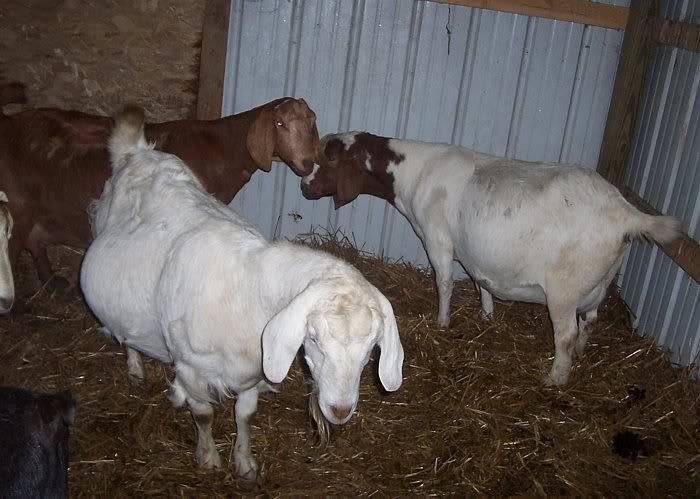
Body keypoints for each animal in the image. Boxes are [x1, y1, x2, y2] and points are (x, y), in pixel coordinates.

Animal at [0, 90, 320, 290]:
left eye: (310, 123)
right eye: (279, 123)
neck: (220, 147)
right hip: (17, 209)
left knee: (36, 247)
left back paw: (53, 283)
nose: (306, 163)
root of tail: (9, 123)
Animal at [80, 109, 404, 480]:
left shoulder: (253, 373)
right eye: (314, 339)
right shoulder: (190, 366)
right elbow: (203, 414)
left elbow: (245, 415)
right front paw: (208, 458)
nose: (339, 410)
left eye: (372, 348)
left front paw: (245, 465)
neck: (247, 289)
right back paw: (134, 368)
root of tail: (137, 151)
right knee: (127, 335)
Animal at [301, 132, 681, 386]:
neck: (415, 173)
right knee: (590, 321)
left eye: (329, 158)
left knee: (566, 334)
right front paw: (486, 315)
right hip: (599, 281)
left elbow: (444, 283)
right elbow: (480, 280)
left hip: (564, 288)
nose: (304, 187)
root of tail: (624, 214)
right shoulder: (474, 252)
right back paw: (581, 355)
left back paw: (555, 378)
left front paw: (442, 322)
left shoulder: (438, 239)